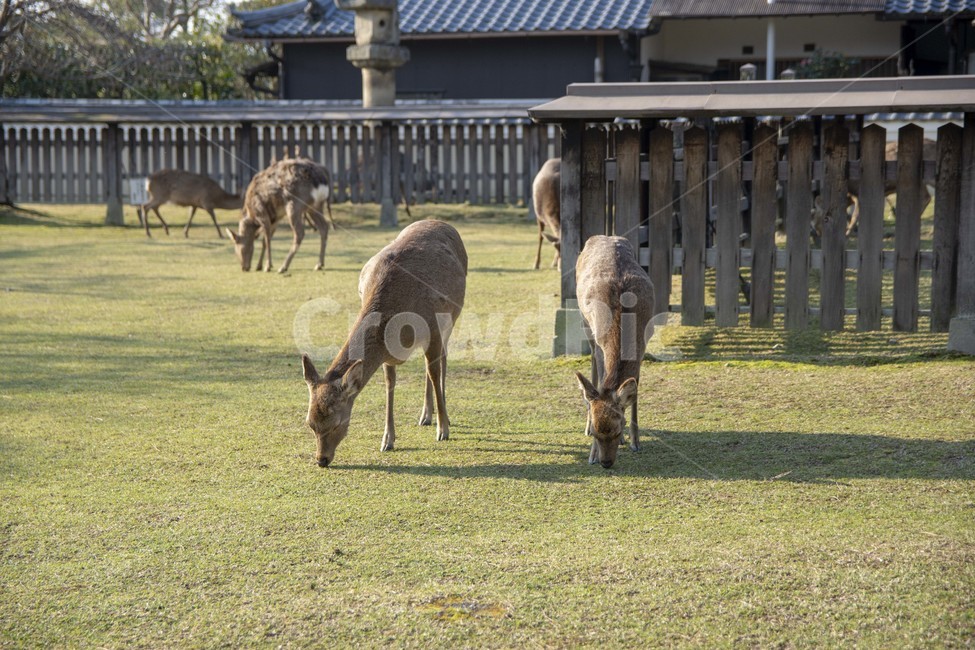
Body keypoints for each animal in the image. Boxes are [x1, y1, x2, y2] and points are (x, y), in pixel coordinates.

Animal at [300, 219, 468, 468]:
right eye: (310, 423)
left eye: (338, 423)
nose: (322, 459)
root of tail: (441, 222)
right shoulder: (387, 351)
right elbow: (390, 383)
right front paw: (387, 440)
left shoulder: (434, 327)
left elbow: (434, 371)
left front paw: (443, 429)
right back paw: (425, 416)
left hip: (452, 317)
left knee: (442, 362)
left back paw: (441, 416)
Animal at [574, 235, 655, 469]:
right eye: (595, 433)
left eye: (618, 428)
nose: (606, 463)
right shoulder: (601, 345)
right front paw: (591, 454)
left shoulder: (643, 345)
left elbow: (634, 391)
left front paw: (635, 442)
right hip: (585, 324)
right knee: (592, 364)